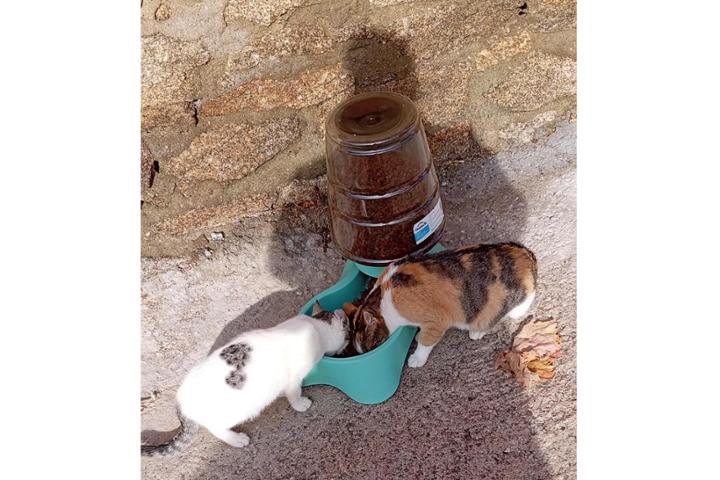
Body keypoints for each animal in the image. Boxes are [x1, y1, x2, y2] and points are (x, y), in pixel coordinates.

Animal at [141, 303, 349, 456]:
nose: (345, 348)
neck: (316, 326)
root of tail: (179, 402)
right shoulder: (294, 377)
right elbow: (294, 393)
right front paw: (300, 404)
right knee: (216, 429)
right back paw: (237, 439)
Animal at [352, 242, 537, 368]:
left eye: (373, 345)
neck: (382, 295)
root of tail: (527, 254)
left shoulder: (437, 320)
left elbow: (426, 341)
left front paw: (417, 358)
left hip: (512, 305)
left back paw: (477, 331)